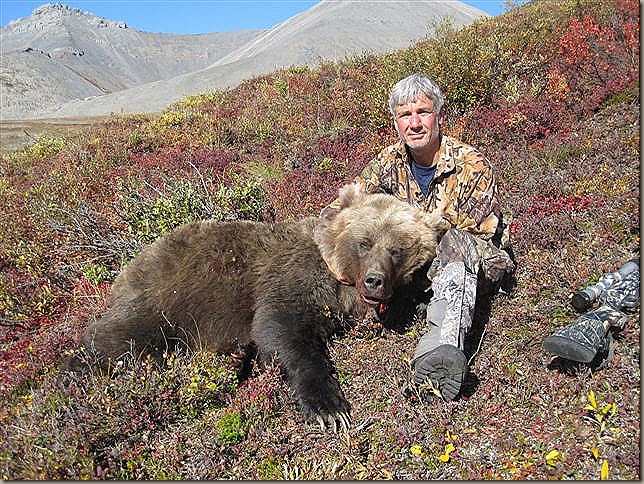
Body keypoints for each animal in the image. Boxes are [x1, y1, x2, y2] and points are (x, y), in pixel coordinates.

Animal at [66, 184, 448, 432]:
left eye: (397, 250)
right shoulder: (291, 276)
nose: (374, 281)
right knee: (116, 340)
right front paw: (328, 408)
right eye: (364, 243)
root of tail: (128, 268)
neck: (337, 278)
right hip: (163, 298)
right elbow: (280, 329)